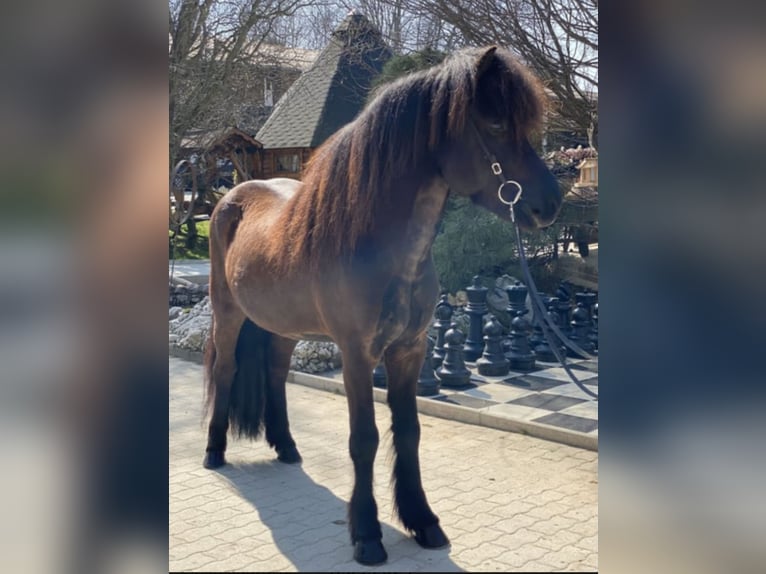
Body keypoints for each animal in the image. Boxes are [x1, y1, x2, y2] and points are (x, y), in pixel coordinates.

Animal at [203, 45, 562, 565]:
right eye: (495, 123)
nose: (550, 204)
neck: (381, 252)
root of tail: (231, 195)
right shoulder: (357, 355)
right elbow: (365, 439)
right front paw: (367, 535)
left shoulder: (410, 350)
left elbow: (408, 431)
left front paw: (423, 521)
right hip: (228, 314)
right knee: (226, 369)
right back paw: (214, 451)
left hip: (283, 327)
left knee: (274, 371)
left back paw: (287, 446)